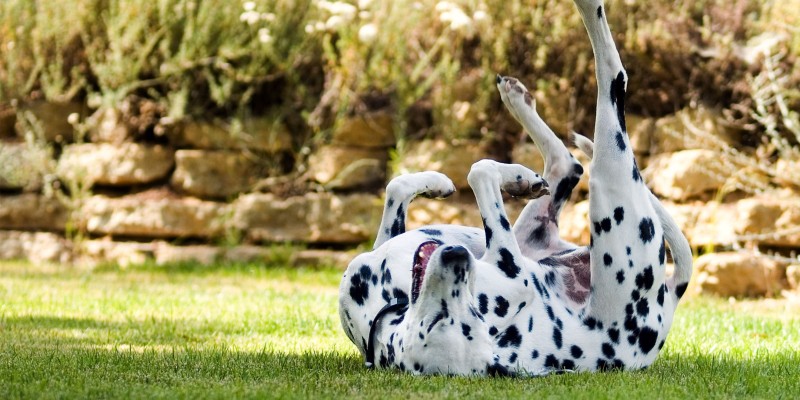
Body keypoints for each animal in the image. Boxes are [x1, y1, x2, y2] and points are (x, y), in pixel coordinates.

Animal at [334, 0, 692, 376]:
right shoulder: (513, 277)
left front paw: (446, 182)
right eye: (438, 321)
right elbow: (474, 172)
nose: (458, 256)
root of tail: (669, 300)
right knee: (608, 89)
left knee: (571, 158)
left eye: (471, 309)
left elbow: (407, 182)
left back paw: (519, 123)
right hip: (611, 180)